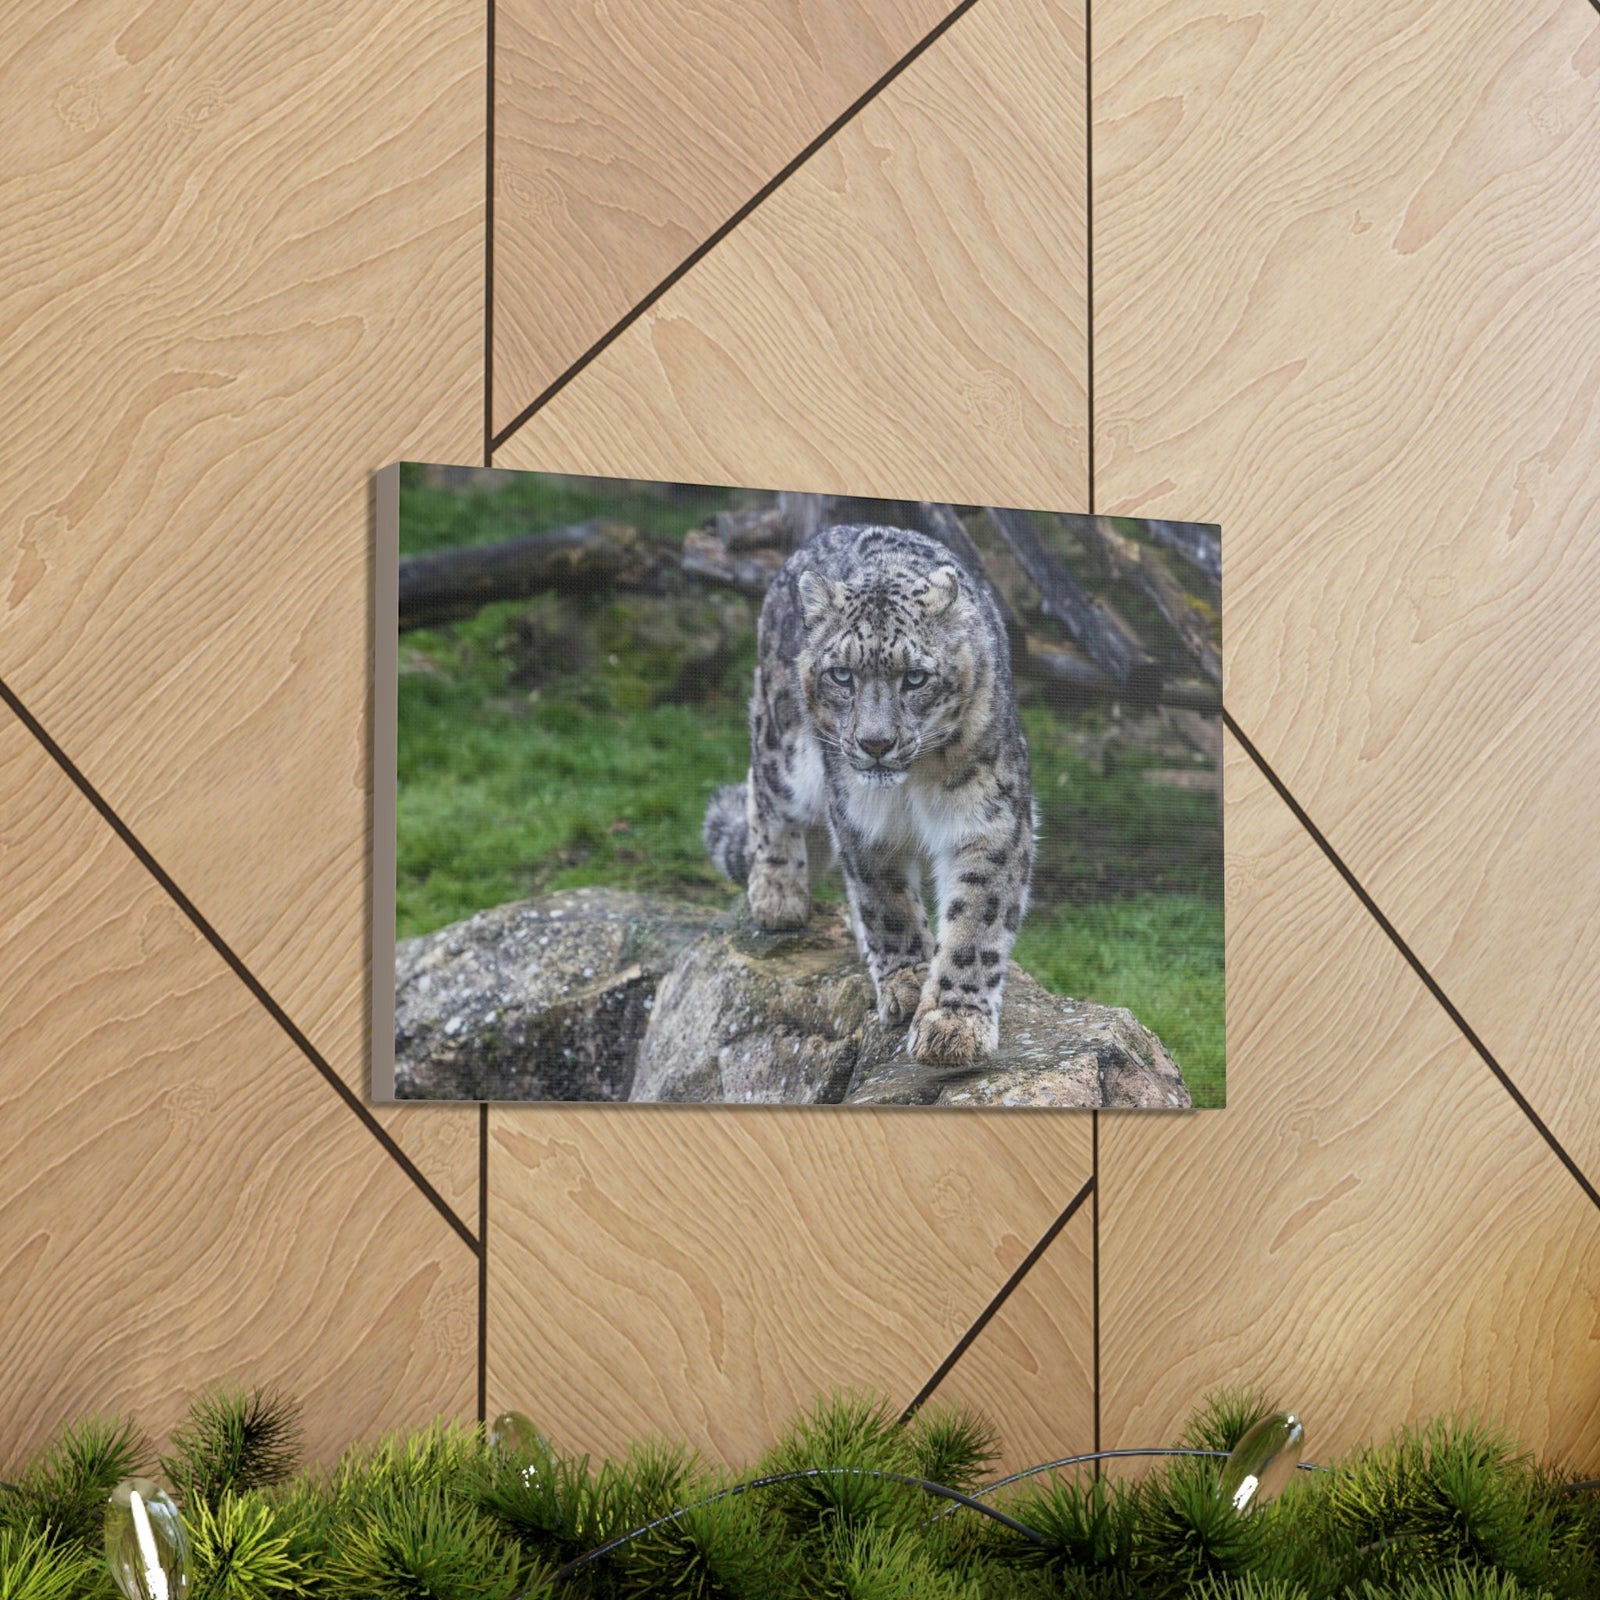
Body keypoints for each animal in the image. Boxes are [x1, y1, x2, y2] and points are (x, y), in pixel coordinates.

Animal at [703, 522, 1034, 1066]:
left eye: (915, 678)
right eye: (842, 674)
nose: (875, 743)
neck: (912, 786)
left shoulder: (989, 820)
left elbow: (975, 921)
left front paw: (953, 1023)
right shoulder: (860, 822)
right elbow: (886, 903)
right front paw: (908, 982)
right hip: (786, 750)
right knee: (765, 788)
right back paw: (777, 892)